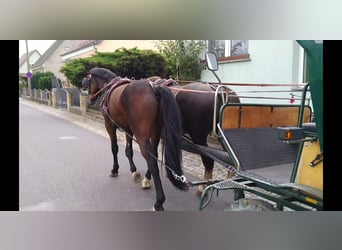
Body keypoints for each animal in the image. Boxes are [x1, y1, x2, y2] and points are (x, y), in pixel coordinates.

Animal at [82, 67, 188, 211]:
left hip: (142, 136)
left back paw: (159, 201)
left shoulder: (109, 125)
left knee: (151, 161)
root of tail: (154, 89)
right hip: (155, 132)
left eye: (88, 82)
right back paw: (147, 179)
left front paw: (115, 169)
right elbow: (129, 151)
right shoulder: (128, 128)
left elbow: (114, 148)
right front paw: (134, 171)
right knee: (154, 154)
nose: (90, 99)